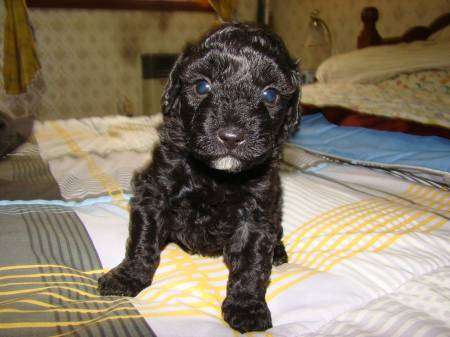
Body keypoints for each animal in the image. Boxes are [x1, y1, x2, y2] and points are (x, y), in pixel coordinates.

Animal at [99, 22, 302, 332]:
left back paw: (277, 251)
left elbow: (252, 262)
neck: (216, 176)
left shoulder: (257, 213)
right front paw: (127, 277)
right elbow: (143, 241)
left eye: (270, 95)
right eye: (202, 86)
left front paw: (246, 307)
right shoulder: (154, 192)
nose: (231, 136)